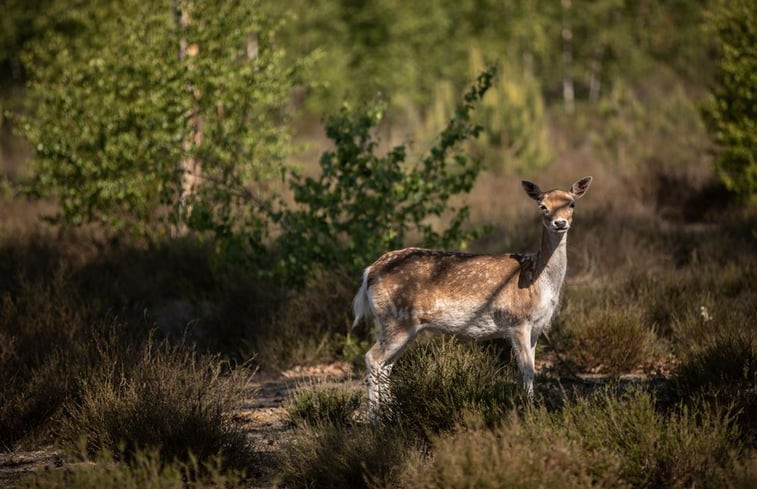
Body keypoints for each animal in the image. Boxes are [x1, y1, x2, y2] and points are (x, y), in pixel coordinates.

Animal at [352, 176, 592, 420]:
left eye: (571, 203)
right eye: (542, 206)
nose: (560, 223)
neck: (538, 281)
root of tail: (369, 272)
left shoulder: (536, 327)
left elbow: (532, 369)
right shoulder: (518, 321)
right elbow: (526, 370)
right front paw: (529, 410)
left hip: (402, 325)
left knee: (386, 366)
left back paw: (390, 414)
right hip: (396, 319)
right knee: (372, 358)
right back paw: (375, 419)